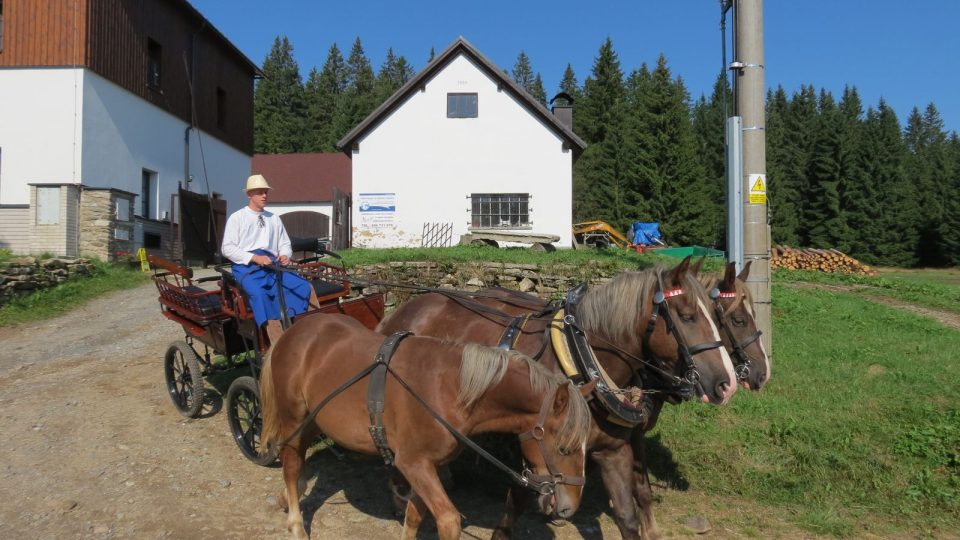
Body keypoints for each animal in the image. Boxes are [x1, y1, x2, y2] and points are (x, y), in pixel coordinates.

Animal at [258, 312, 596, 540]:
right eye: (564, 448)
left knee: (298, 462)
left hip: (315, 419)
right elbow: (448, 520)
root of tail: (294, 331)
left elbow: (413, 517)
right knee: (290, 465)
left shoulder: (425, 468)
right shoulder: (414, 464)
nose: (570, 508)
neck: (450, 390)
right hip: (294, 418)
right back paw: (296, 524)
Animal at [376, 258, 736, 540]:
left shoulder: (614, 451)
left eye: (716, 315)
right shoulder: (534, 448)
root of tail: (403, 309)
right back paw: (399, 493)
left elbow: (627, 517)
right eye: (687, 316)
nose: (727, 384)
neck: (584, 362)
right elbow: (516, 504)